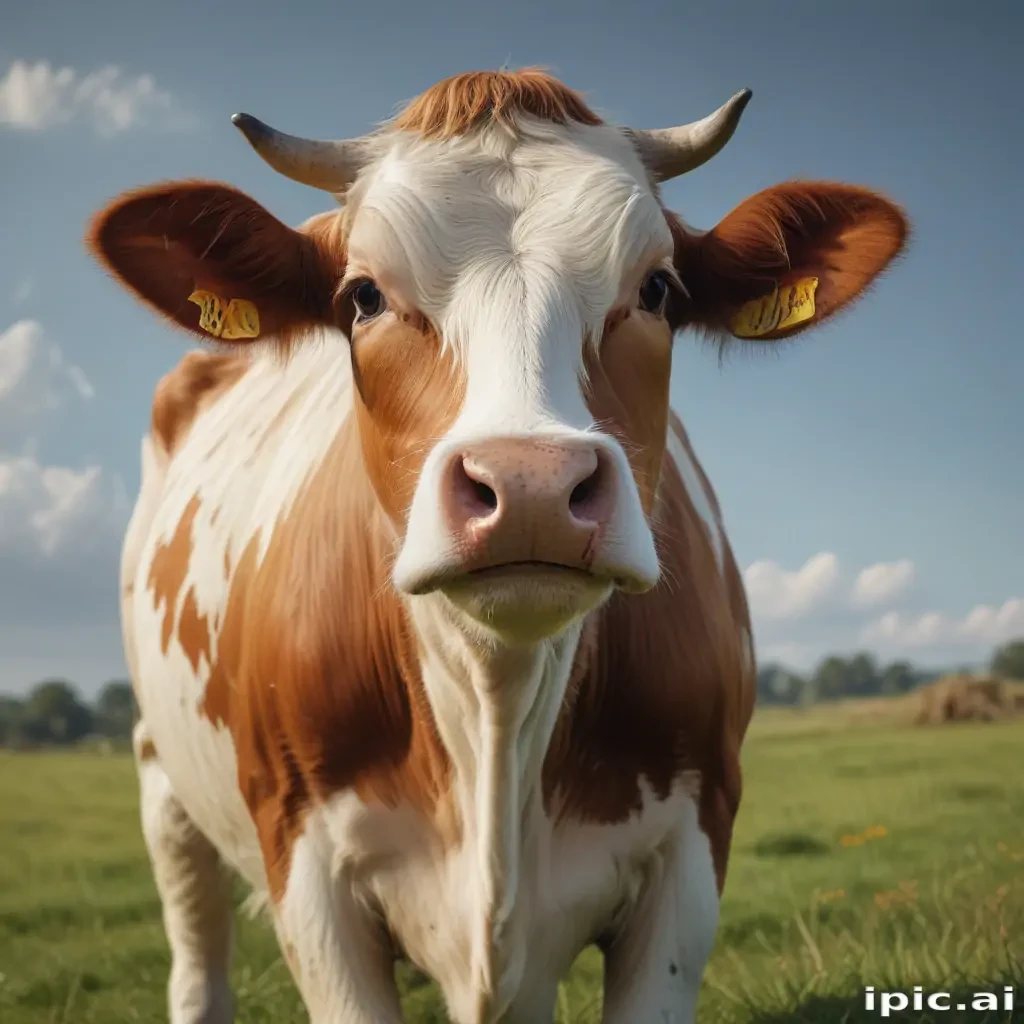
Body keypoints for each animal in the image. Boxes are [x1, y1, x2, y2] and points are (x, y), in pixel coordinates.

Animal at [87, 69, 908, 1024]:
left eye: (658, 289)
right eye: (362, 295)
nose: (531, 486)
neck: (498, 707)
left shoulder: (692, 846)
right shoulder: (309, 871)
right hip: (162, 779)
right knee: (198, 961)